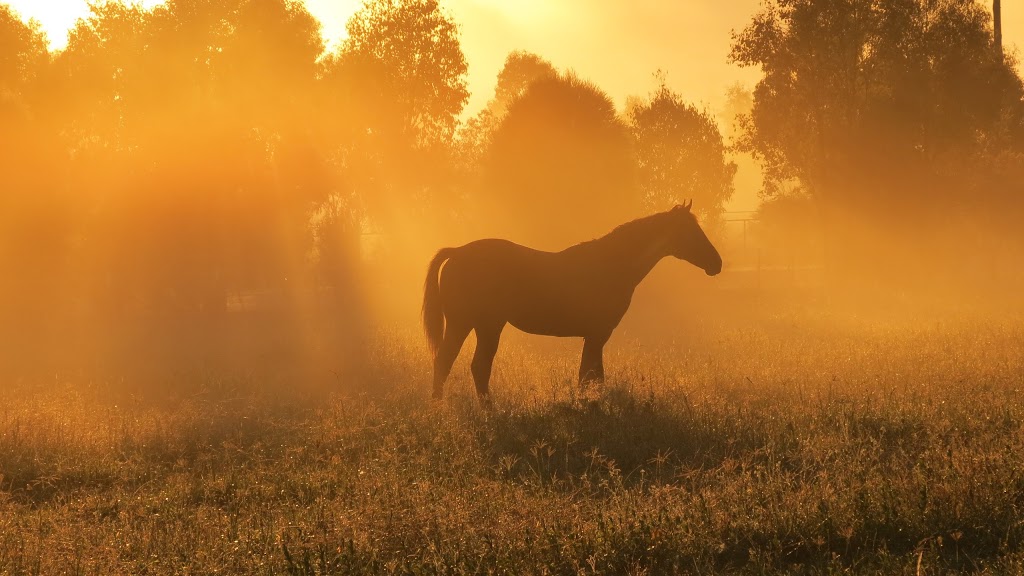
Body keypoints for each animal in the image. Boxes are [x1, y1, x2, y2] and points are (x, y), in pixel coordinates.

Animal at [419, 201, 724, 403]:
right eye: (690, 231)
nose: (716, 263)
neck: (612, 265)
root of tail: (458, 252)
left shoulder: (595, 336)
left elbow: (590, 376)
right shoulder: (597, 334)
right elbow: (590, 376)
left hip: (481, 326)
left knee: (468, 366)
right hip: (471, 325)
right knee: (454, 364)